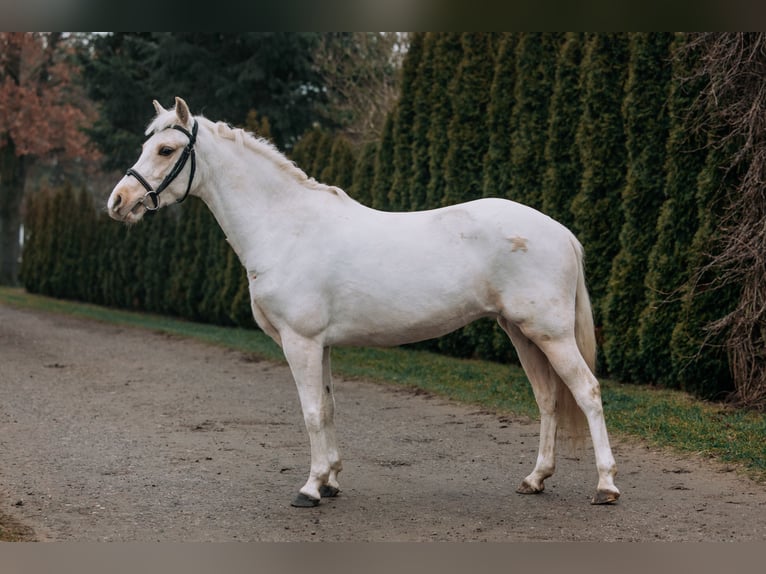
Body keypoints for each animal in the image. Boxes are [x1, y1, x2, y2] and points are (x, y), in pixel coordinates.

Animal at [107, 97, 620, 508]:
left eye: (166, 150)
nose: (119, 201)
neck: (287, 227)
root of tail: (560, 231)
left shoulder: (301, 341)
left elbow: (312, 412)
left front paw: (310, 489)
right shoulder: (322, 345)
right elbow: (329, 407)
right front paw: (331, 481)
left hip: (550, 333)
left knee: (587, 392)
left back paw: (606, 487)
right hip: (521, 333)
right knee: (548, 399)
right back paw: (535, 479)